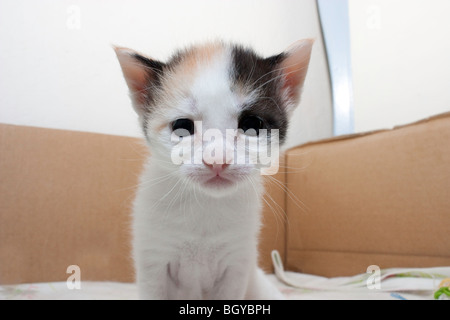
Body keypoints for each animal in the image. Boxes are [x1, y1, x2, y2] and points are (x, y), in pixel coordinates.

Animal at [114, 40, 312, 300]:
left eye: (252, 125)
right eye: (182, 126)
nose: (217, 159)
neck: (205, 205)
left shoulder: (237, 264)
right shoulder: (152, 259)